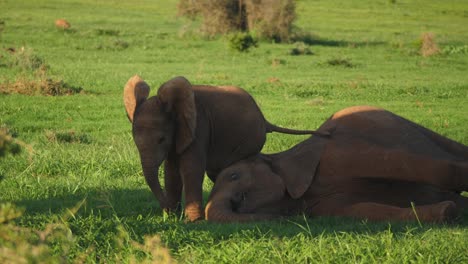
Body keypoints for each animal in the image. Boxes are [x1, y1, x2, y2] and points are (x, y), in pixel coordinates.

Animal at [206, 105, 468, 223]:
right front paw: (447, 211)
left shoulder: (336, 152)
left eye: (233, 176)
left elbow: (395, 163)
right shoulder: (320, 207)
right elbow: (364, 210)